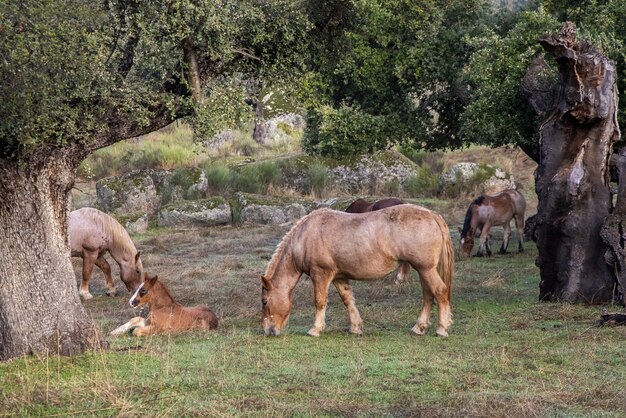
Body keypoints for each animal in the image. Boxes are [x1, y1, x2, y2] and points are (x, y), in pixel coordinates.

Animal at [260, 204, 450, 338]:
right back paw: (419, 327)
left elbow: (320, 301)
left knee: (440, 291)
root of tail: (432, 215)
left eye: (265, 301)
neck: (306, 236)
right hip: (424, 271)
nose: (267, 331)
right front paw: (356, 327)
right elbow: (348, 300)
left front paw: (315, 329)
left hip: (426, 269)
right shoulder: (338, 277)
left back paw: (442, 328)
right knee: (428, 295)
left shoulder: (321, 274)